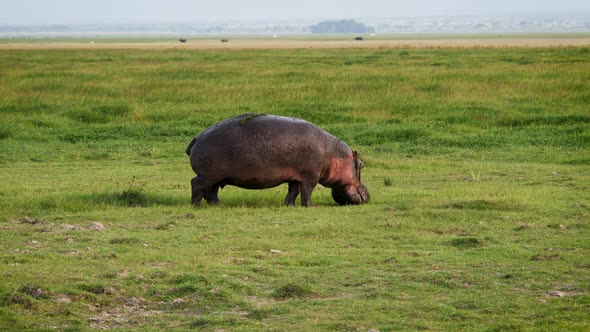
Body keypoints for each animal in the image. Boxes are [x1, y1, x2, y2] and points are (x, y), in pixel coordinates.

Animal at [186, 115, 370, 206]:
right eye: (361, 165)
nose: (368, 194)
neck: (332, 154)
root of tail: (197, 137)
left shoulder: (296, 177)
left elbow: (293, 191)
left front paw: (290, 205)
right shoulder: (311, 177)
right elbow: (307, 192)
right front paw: (311, 206)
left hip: (216, 176)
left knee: (212, 192)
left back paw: (219, 205)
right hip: (208, 175)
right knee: (196, 184)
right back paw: (196, 206)